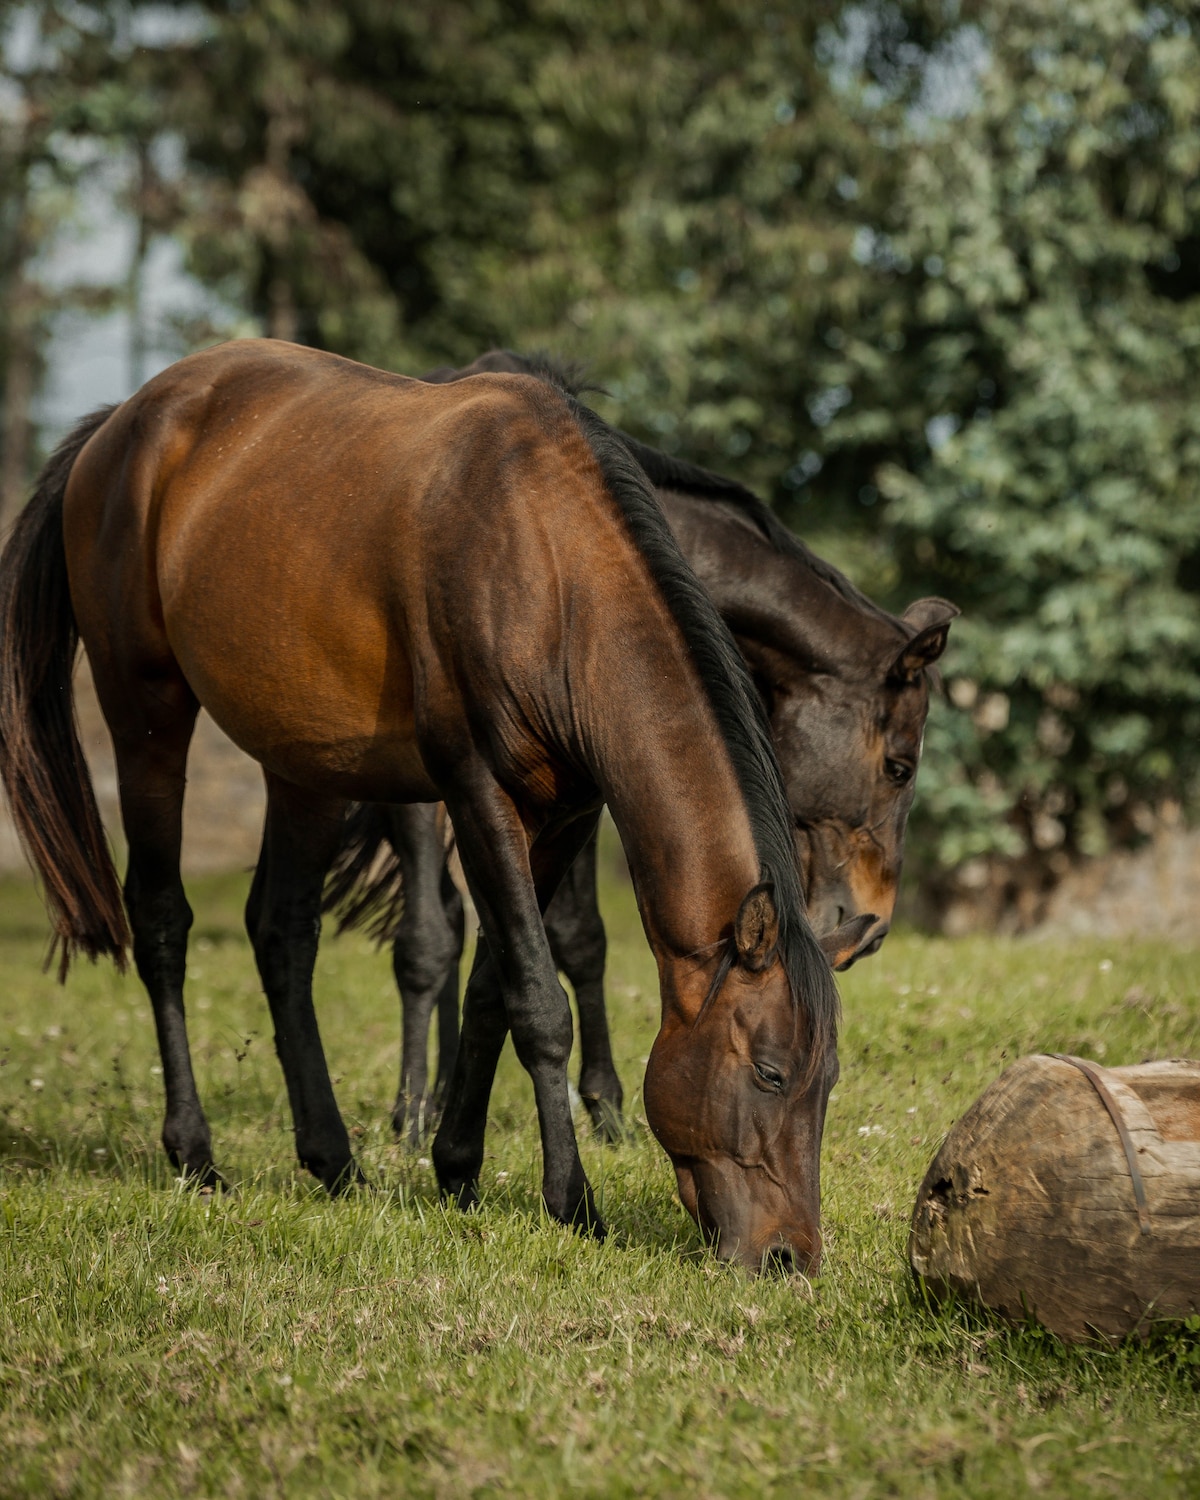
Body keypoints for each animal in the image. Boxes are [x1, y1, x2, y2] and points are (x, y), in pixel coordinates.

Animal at [0, 337, 846, 1266]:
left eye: (827, 1080)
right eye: (770, 1072)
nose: (790, 1258)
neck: (548, 569)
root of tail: (119, 425)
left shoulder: (561, 817)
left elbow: (492, 991)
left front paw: (458, 1168)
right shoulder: (478, 793)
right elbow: (538, 1001)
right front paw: (572, 1200)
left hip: (304, 764)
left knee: (282, 934)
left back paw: (333, 1158)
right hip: (145, 711)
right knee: (161, 921)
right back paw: (194, 1153)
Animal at [325, 354, 954, 1146]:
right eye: (899, 767)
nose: (873, 925)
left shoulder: (580, 789)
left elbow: (579, 938)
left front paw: (603, 1106)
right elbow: (447, 941)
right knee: (430, 932)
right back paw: (415, 1108)